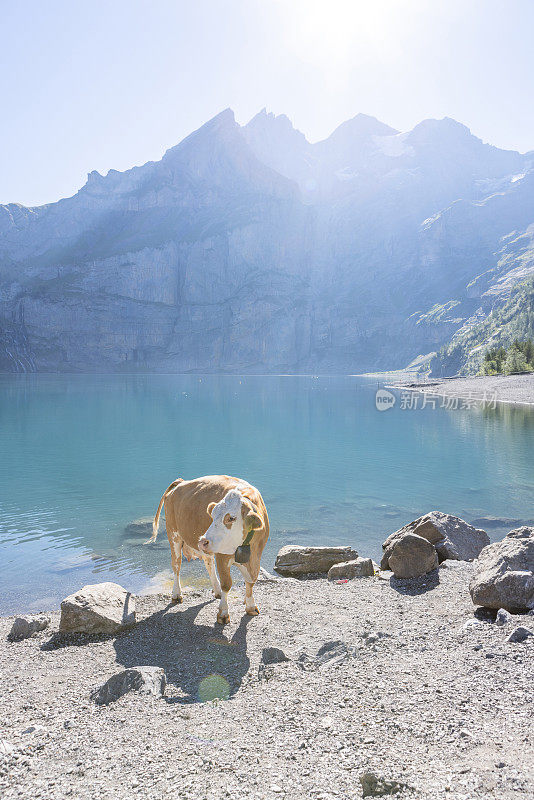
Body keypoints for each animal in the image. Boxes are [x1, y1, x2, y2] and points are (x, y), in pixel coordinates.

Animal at [146, 476, 270, 624]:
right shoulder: (222, 556)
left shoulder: (256, 557)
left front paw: (250, 606)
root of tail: (181, 482)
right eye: (213, 514)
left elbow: (251, 581)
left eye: (231, 518)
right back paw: (176, 594)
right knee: (176, 565)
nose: (202, 541)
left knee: (208, 563)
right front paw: (223, 613)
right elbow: (227, 584)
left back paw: (217, 591)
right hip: (173, 535)